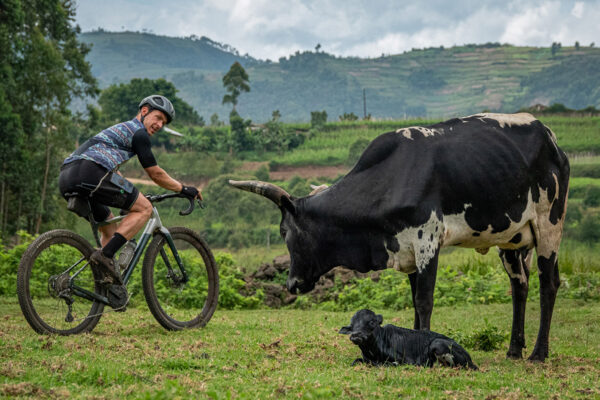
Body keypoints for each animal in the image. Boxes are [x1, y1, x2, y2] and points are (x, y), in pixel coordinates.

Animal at [229, 112, 568, 362]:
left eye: (284, 231)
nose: (291, 284)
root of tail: (551, 138)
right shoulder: (406, 251)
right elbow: (414, 303)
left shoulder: (428, 239)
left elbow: (424, 300)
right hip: (512, 238)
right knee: (519, 286)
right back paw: (514, 350)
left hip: (549, 224)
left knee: (548, 283)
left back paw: (538, 353)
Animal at [338, 310, 478, 368]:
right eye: (351, 325)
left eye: (371, 322)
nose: (356, 335)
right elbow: (356, 361)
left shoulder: (405, 361)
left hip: (437, 343)